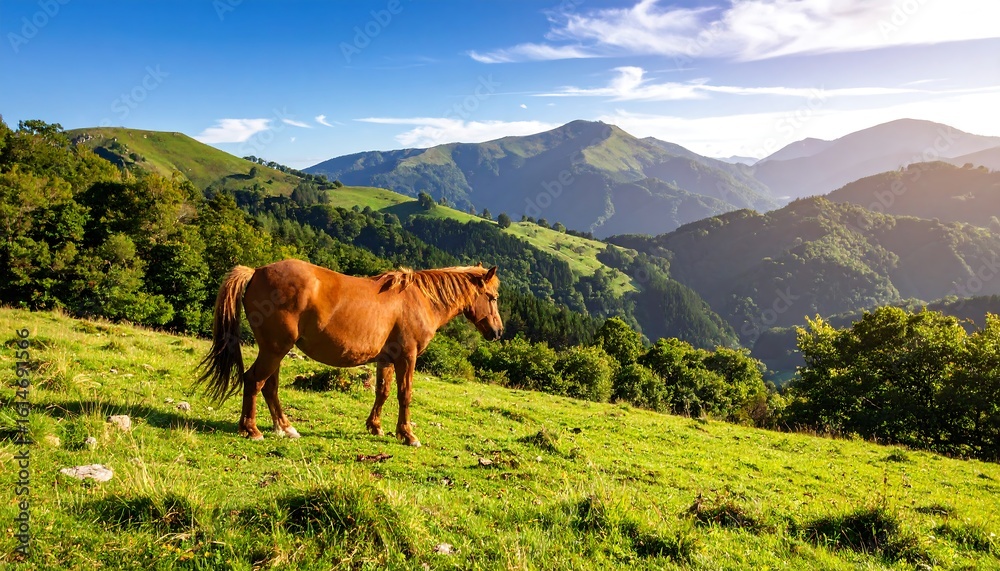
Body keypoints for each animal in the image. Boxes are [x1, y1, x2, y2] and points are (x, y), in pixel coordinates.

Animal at [196, 258, 502, 446]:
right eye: (492, 297)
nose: (498, 332)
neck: (419, 299)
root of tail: (256, 272)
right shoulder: (408, 357)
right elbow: (405, 395)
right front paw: (407, 435)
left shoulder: (386, 359)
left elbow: (383, 392)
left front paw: (375, 427)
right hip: (274, 350)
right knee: (254, 381)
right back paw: (252, 430)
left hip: (275, 351)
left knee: (269, 387)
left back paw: (285, 427)